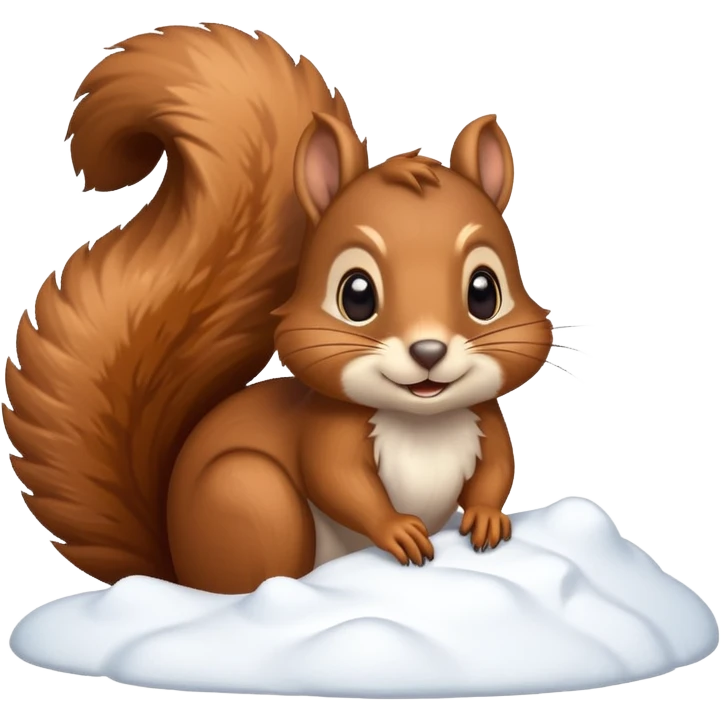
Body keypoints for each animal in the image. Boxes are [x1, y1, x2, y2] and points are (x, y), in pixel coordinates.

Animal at [3, 23, 552, 595]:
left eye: (484, 291)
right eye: (356, 295)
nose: (428, 351)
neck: (421, 420)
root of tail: (177, 570)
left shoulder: (484, 418)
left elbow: (498, 470)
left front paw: (487, 518)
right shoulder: (327, 434)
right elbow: (340, 483)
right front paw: (398, 530)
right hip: (250, 496)